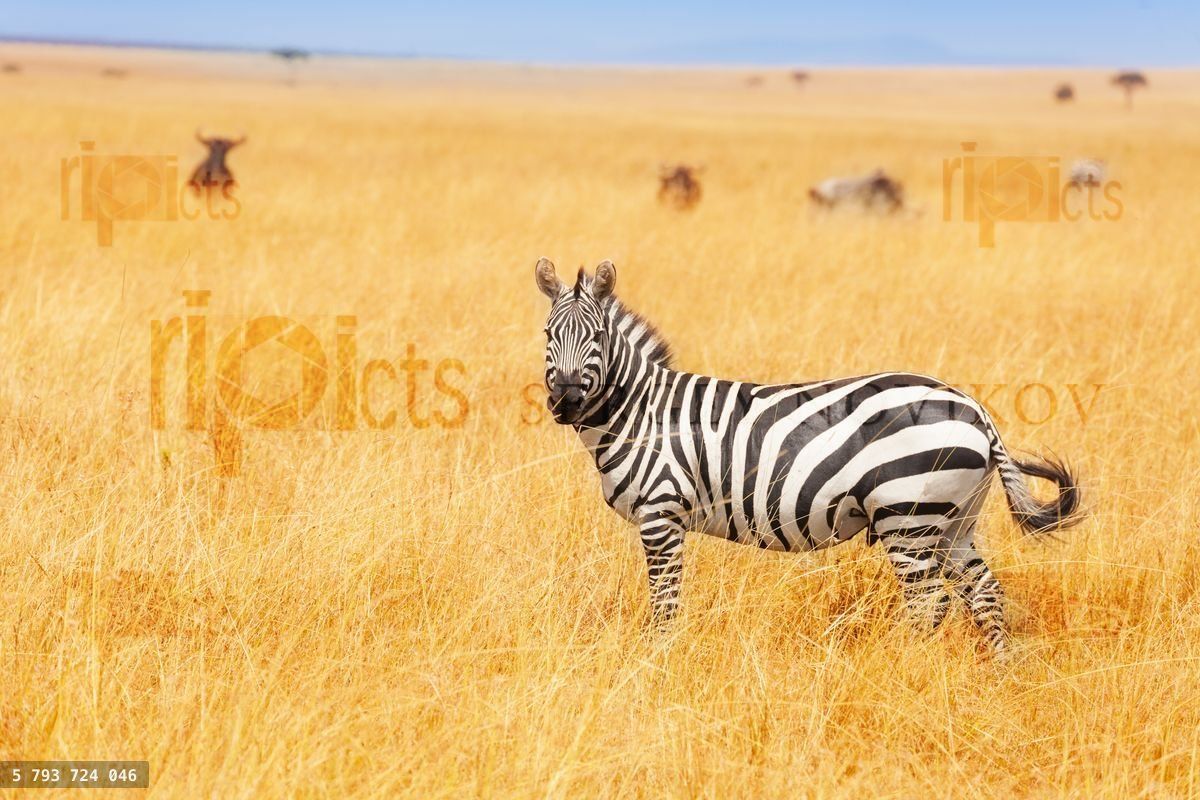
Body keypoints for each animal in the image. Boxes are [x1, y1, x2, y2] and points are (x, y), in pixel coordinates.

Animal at [534, 258, 1082, 655]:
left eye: (598, 337)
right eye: (547, 336)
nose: (566, 400)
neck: (641, 411)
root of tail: (976, 410)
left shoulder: (660, 514)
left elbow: (664, 604)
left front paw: (659, 660)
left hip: (907, 516)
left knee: (928, 604)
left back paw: (908, 673)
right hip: (954, 521)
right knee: (983, 593)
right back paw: (999, 672)